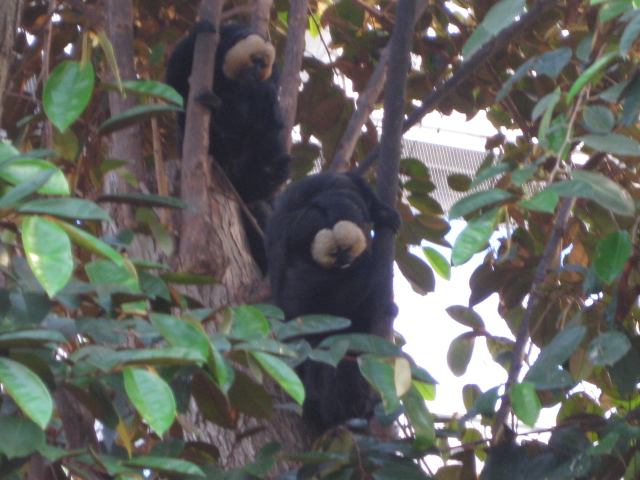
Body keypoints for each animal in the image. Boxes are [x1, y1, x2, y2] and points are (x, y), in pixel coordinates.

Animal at [264, 172, 400, 432]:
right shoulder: (300, 265)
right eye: (335, 253)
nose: (345, 260)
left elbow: (358, 187)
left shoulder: (343, 191)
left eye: (345, 248)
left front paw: (384, 213)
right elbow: (308, 305)